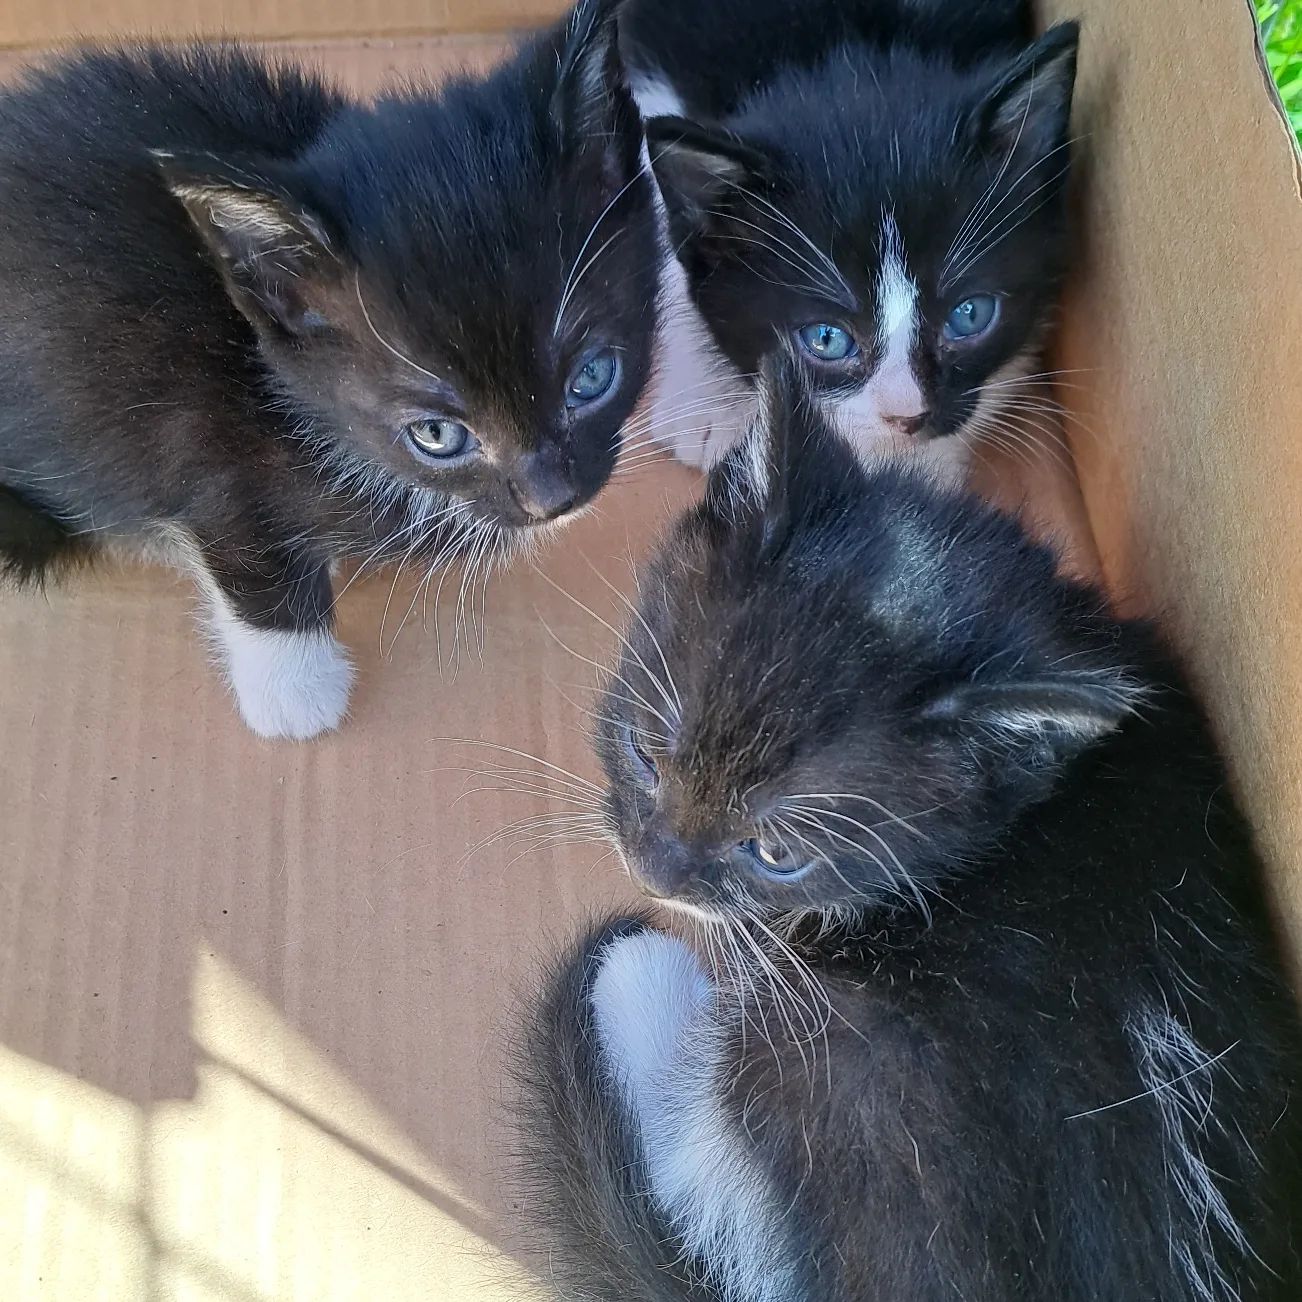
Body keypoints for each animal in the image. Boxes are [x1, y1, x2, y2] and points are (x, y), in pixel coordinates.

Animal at [0, 0, 656, 744]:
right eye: (437, 434)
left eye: (593, 377)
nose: (555, 500)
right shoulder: (194, 427)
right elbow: (241, 536)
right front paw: (294, 688)